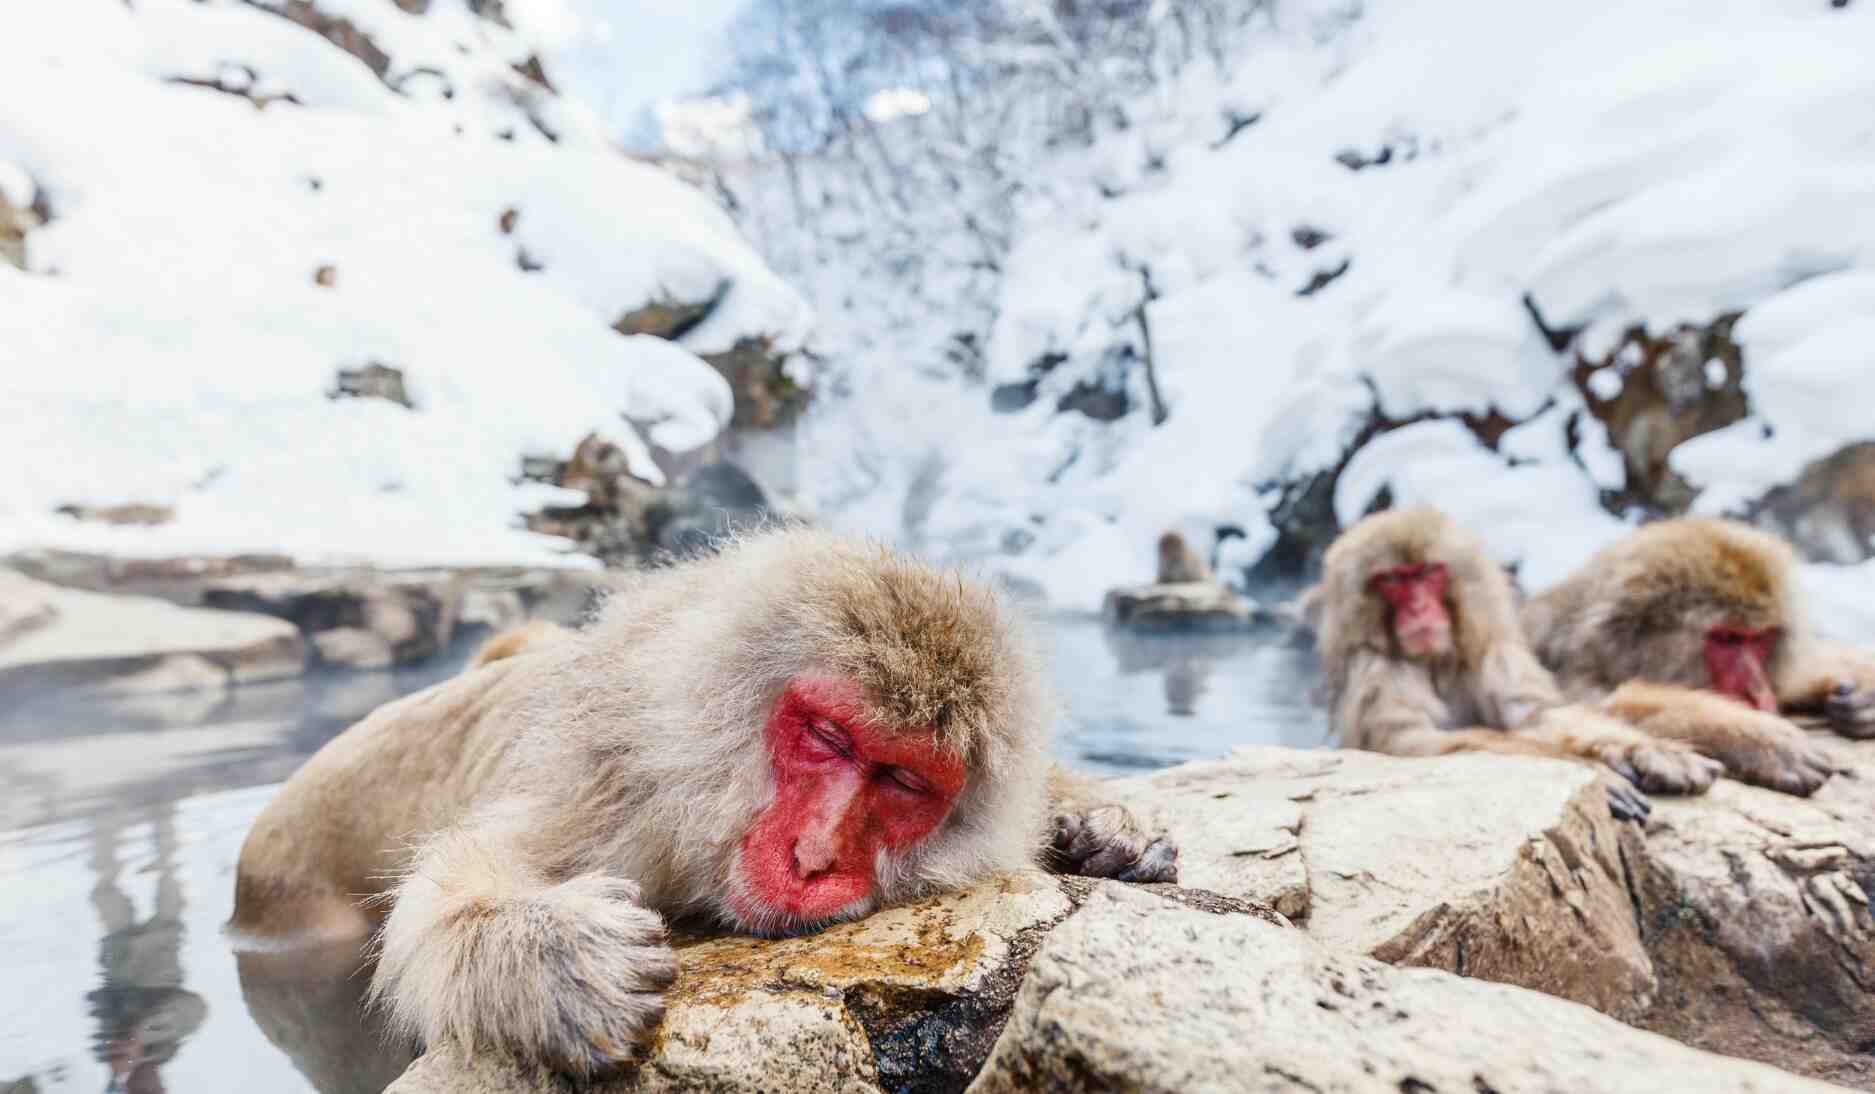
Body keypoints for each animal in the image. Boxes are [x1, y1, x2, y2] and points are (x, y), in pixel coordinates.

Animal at [226, 529, 1170, 1080]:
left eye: (902, 781)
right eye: (827, 738)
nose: (814, 855)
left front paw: (1104, 828)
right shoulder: (611, 797)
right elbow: (450, 893)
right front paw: (550, 956)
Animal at [1305, 510, 1725, 818]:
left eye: (1428, 573)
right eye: (1393, 580)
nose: (1420, 608)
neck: (1435, 662)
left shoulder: (1494, 652)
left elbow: (1537, 716)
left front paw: (1647, 751)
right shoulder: (1375, 669)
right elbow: (1409, 741)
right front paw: (1595, 773)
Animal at [1522, 517, 1875, 799]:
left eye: (1759, 639)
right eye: (1727, 639)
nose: (1758, 693)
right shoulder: (1572, 673)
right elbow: (1575, 710)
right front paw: (1753, 736)